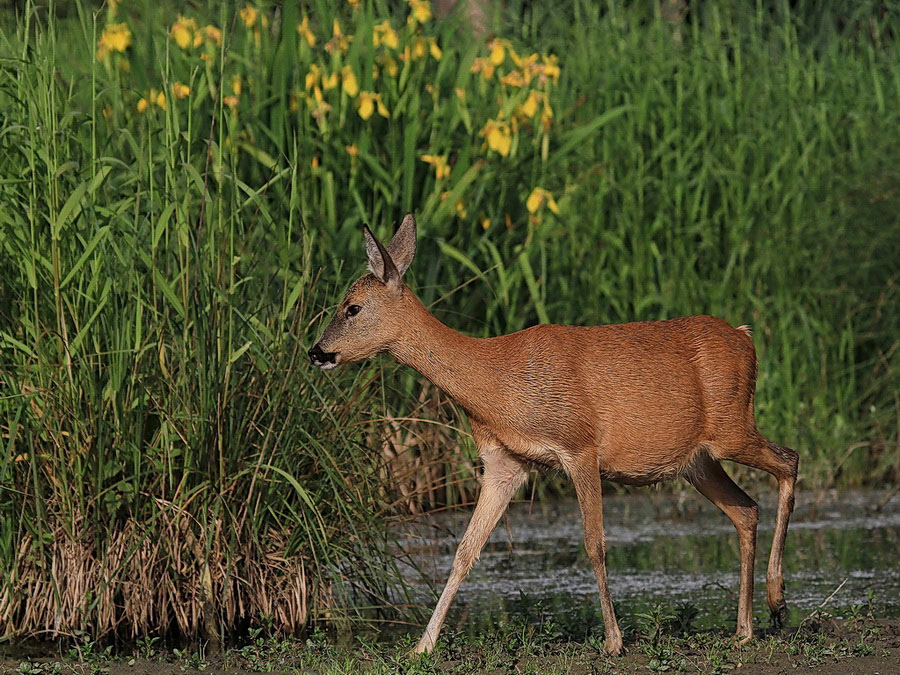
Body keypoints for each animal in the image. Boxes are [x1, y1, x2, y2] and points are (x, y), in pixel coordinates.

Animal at [306, 215, 800, 656]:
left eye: (352, 307)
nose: (316, 352)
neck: (499, 381)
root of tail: (746, 337)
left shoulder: (579, 445)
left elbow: (594, 544)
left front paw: (614, 641)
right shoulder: (504, 463)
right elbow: (465, 552)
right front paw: (421, 646)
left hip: (732, 426)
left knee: (789, 459)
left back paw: (777, 601)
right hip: (697, 461)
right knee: (746, 510)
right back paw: (745, 629)